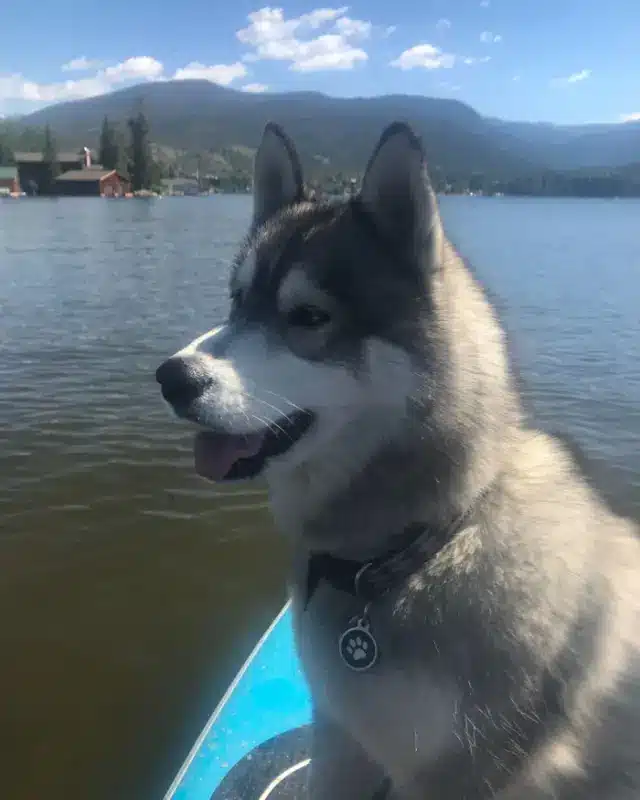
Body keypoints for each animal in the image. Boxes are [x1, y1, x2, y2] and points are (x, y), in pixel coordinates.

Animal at [158, 122, 640, 796]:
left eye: (308, 316)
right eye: (236, 300)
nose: (170, 377)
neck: (411, 549)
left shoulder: (457, 775)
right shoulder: (341, 736)